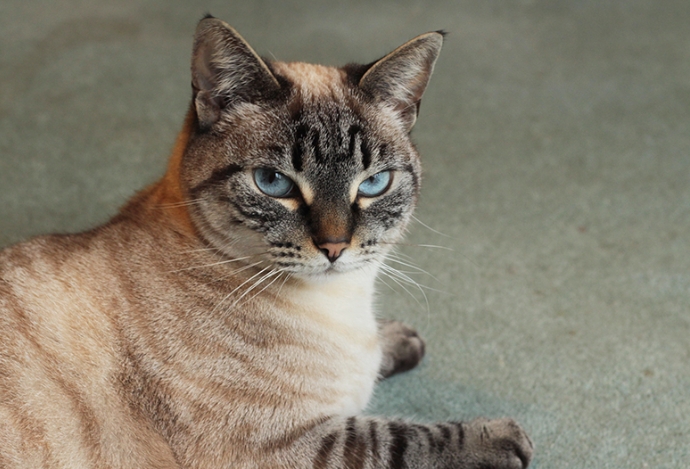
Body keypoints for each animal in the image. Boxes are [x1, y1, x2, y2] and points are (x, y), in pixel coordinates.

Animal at [0, 15, 532, 468]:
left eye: (373, 184)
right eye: (274, 183)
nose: (335, 247)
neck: (342, 305)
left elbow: (377, 359)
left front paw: (400, 340)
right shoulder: (283, 446)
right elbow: (396, 439)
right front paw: (504, 439)